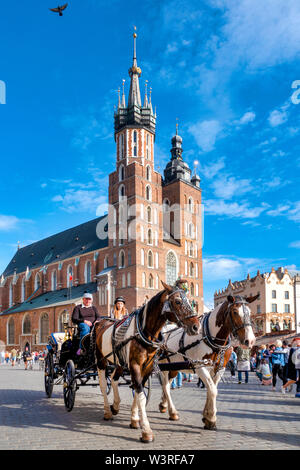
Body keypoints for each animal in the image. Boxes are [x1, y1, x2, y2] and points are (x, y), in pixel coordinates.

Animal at [95, 280, 200, 442]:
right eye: (177, 301)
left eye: (191, 302)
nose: (196, 326)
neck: (144, 331)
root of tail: (101, 323)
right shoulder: (135, 365)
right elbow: (140, 393)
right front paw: (146, 430)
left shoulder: (147, 366)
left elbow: (139, 390)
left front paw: (134, 419)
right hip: (101, 361)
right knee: (102, 384)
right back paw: (107, 411)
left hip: (119, 362)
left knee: (113, 379)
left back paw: (116, 405)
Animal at [158, 294, 256, 430]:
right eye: (235, 312)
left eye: (250, 312)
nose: (250, 340)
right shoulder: (200, 366)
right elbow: (213, 390)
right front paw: (211, 418)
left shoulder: (220, 368)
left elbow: (211, 389)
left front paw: (206, 416)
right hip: (163, 366)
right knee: (165, 386)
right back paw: (172, 412)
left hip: (173, 367)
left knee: (167, 384)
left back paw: (163, 405)